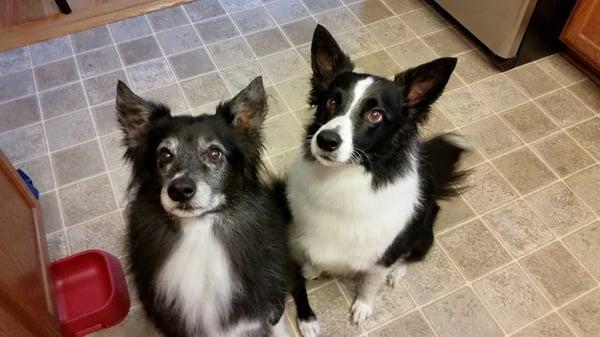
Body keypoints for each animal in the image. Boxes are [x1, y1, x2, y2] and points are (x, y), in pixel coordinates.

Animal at [288, 25, 472, 332]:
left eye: (375, 115)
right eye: (331, 101)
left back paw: (397, 273)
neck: (345, 178)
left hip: (422, 233)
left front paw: (363, 307)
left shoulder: (383, 252)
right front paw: (311, 269)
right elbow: (313, 255)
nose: (326, 140)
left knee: (412, 256)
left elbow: (371, 283)